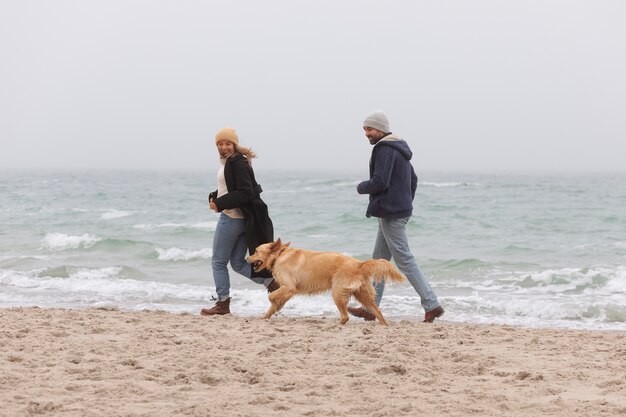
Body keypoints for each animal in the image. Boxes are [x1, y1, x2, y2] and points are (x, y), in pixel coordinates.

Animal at [246, 239, 402, 324]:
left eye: (255, 251)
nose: (247, 258)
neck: (279, 255)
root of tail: (359, 264)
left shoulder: (289, 287)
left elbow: (271, 297)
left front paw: (274, 306)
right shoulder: (289, 290)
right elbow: (276, 301)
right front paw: (269, 314)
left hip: (338, 293)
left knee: (345, 316)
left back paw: (338, 324)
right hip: (363, 295)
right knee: (378, 312)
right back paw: (385, 326)